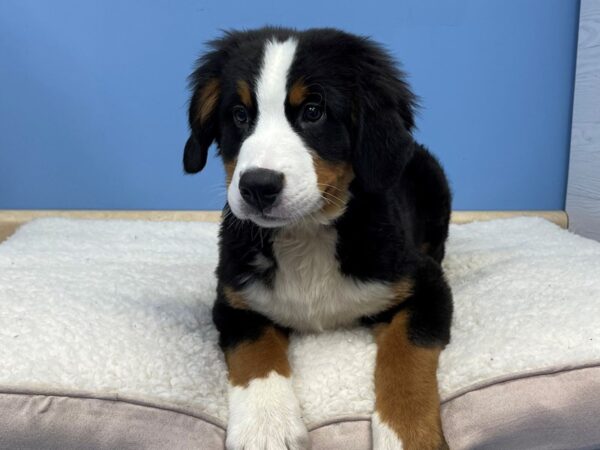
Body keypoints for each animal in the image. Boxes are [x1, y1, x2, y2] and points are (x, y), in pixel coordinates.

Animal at [182, 26, 450, 448]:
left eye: (313, 111)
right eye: (240, 114)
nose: (258, 186)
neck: (306, 233)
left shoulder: (426, 287)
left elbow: (406, 356)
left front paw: (406, 435)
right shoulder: (235, 300)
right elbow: (255, 353)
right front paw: (267, 426)